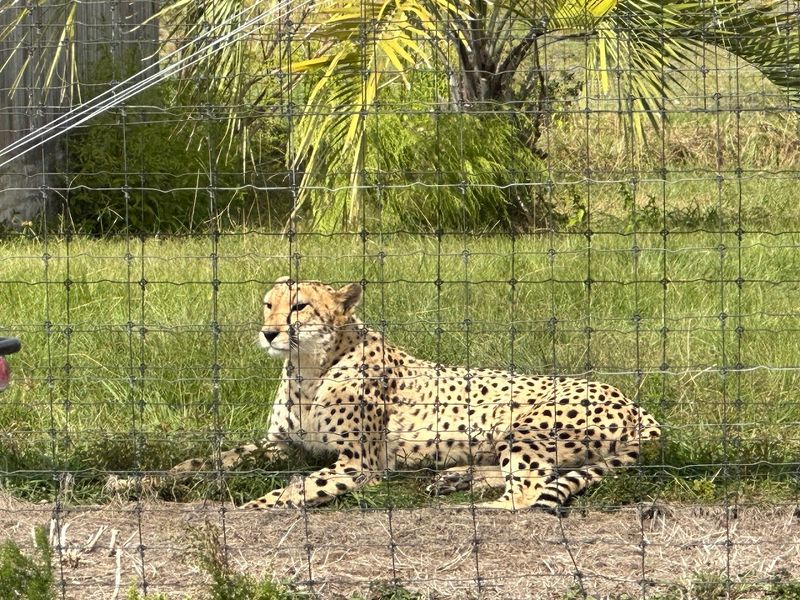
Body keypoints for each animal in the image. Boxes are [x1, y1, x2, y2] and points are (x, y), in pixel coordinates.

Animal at [173, 276, 661, 513]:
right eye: (268, 304)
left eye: (300, 306)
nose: (269, 332)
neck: (311, 368)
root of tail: (638, 407)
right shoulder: (283, 445)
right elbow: (217, 456)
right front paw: (166, 477)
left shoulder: (358, 464)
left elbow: (295, 489)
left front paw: (250, 508)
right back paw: (455, 477)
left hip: (524, 424)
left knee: (525, 493)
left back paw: (469, 503)